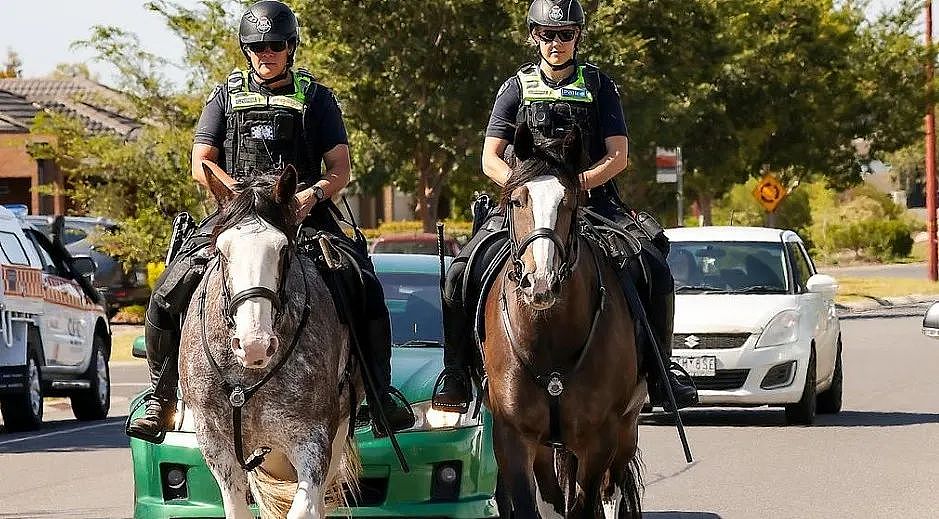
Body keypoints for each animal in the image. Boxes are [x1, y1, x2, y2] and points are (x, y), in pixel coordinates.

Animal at [180, 164, 364, 519]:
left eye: (283, 250)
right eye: (221, 251)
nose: (254, 344)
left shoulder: (313, 441)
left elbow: (303, 508)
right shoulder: (216, 445)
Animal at [484, 127, 648, 519]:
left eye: (570, 203)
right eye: (518, 201)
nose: (540, 282)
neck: (548, 335)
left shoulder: (599, 438)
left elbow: (586, 504)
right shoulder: (512, 436)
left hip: (626, 427)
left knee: (611, 488)